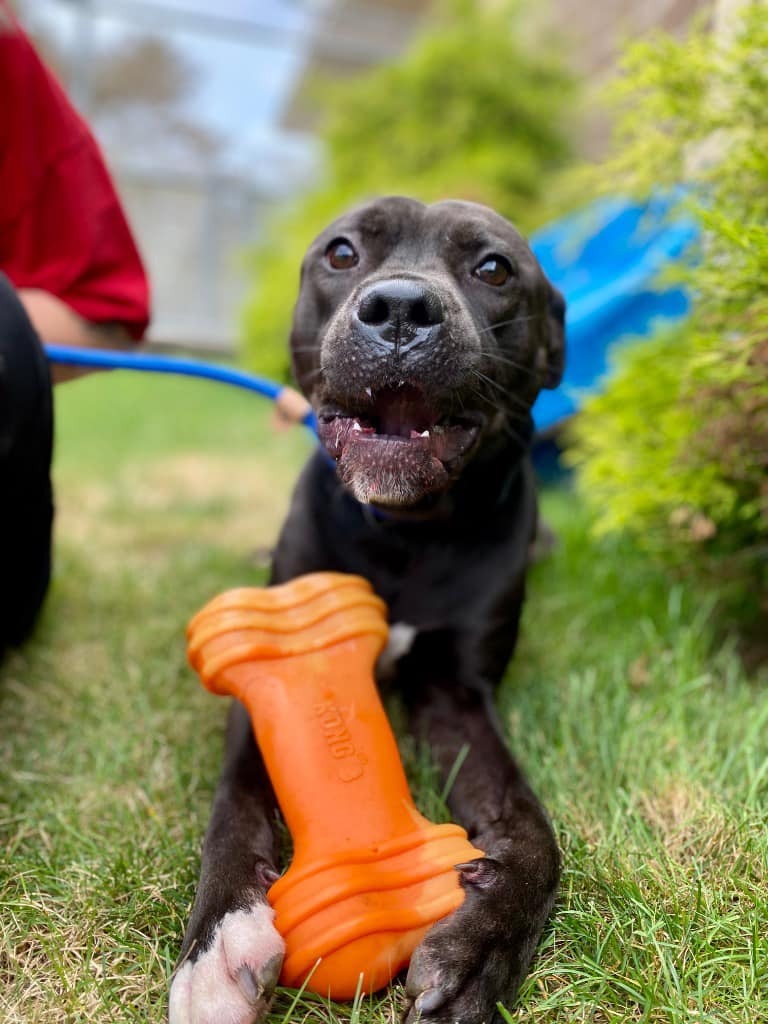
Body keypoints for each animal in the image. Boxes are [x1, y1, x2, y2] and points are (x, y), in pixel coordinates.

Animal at [167, 195, 565, 1024]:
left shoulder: (457, 699)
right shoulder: (262, 680)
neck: (405, 532)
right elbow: (233, 806)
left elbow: (532, 828)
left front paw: (483, 945)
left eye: (494, 267)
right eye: (342, 252)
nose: (401, 310)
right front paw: (217, 943)